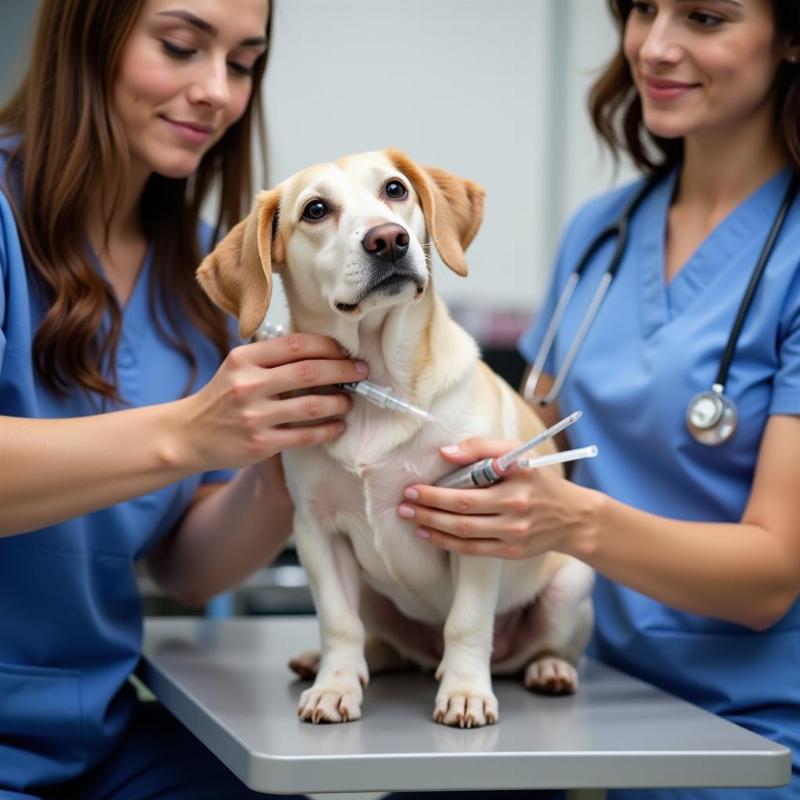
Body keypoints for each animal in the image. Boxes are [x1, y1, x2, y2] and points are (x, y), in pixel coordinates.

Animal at [196, 147, 592, 728]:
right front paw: (334, 686)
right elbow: (338, 623)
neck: (381, 385)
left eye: (395, 190)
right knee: (379, 642)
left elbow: (466, 623)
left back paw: (549, 670)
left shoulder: (475, 523)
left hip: (571, 584)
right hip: (372, 594)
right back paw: (334, 662)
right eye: (316, 209)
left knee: (538, 648)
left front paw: (466, 692)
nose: (388, 239)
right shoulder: (317, 531)